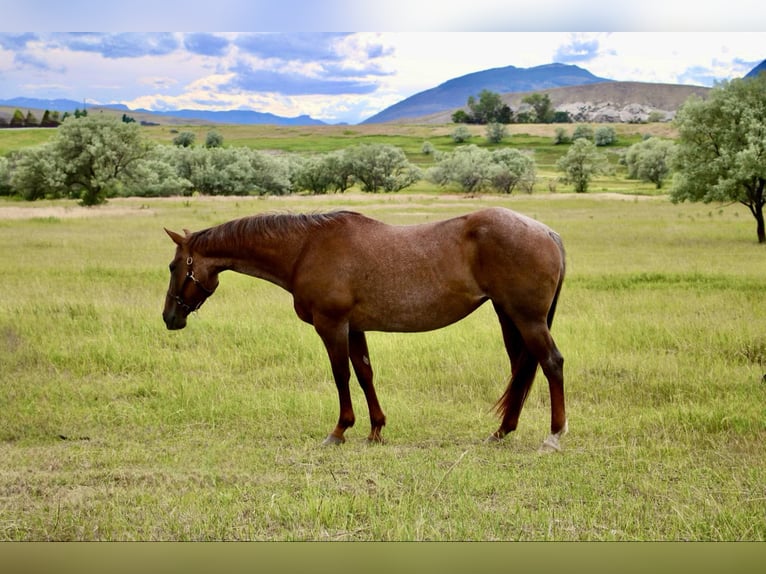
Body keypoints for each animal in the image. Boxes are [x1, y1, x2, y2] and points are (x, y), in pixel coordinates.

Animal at [163, 207, 568, 451]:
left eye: (173, 266)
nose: (169, 317)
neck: (304, 249)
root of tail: (547, 232)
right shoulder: (354, 329)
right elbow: (364, 374)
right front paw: (376, 429)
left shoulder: (332, 326)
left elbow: (341, 375)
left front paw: (340, 430)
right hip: (509, 316)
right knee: (521, 369)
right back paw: (502, 431)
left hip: (526, 318)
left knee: (551, 364)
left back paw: (553, 435)